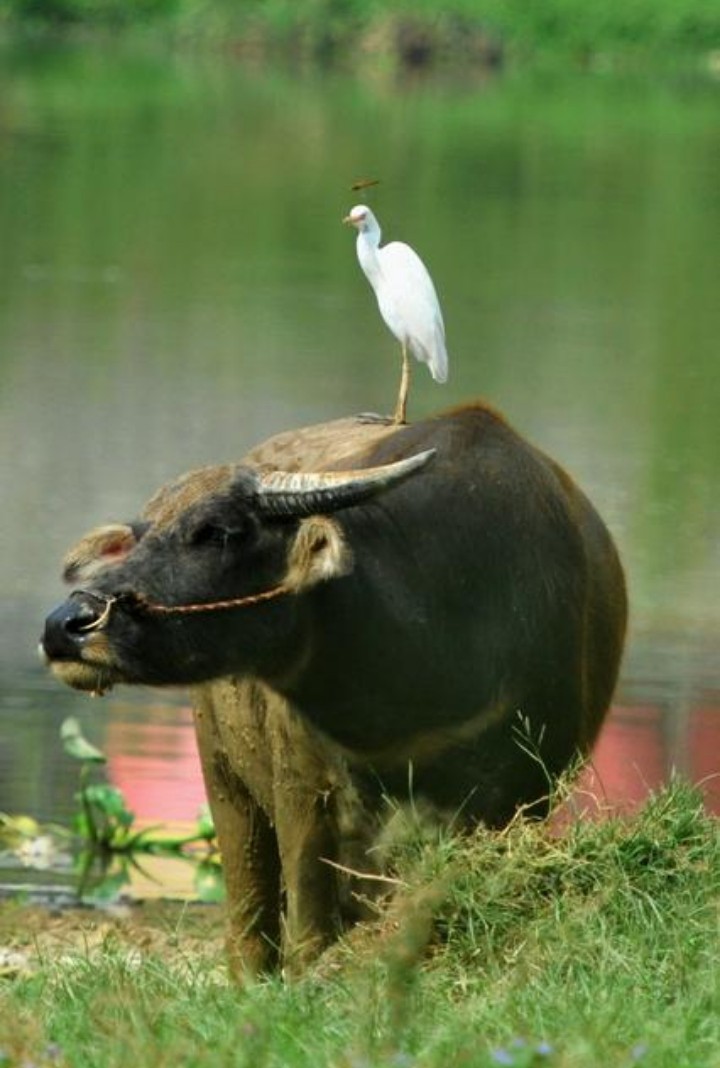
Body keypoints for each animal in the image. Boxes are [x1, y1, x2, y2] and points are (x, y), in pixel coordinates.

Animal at [40, 401, 623, 978]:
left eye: (219, 532)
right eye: (140, 532)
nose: (67, 625)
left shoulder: (519, 792)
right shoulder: (303, 789)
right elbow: (309, 925)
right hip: (224, 777)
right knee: (250, 911)